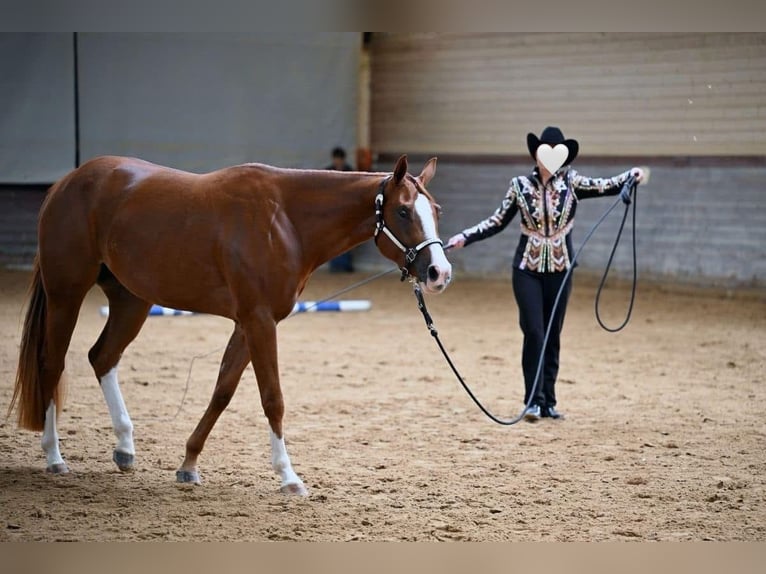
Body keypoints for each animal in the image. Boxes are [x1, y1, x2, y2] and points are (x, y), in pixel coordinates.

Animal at [9, 154, 452, 495]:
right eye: (403, 211)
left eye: (437, 212)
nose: (438, 273)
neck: (286, 220)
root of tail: (66, 183)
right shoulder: (259, 321)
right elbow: (272, 398)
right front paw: (288, 477)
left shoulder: (248, 322)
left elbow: (222, 391)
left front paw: (188, 464)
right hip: (67, 294)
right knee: (52, 364)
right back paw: (54, 456)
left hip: (131, 300)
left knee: (102, 357)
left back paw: (125, 447)